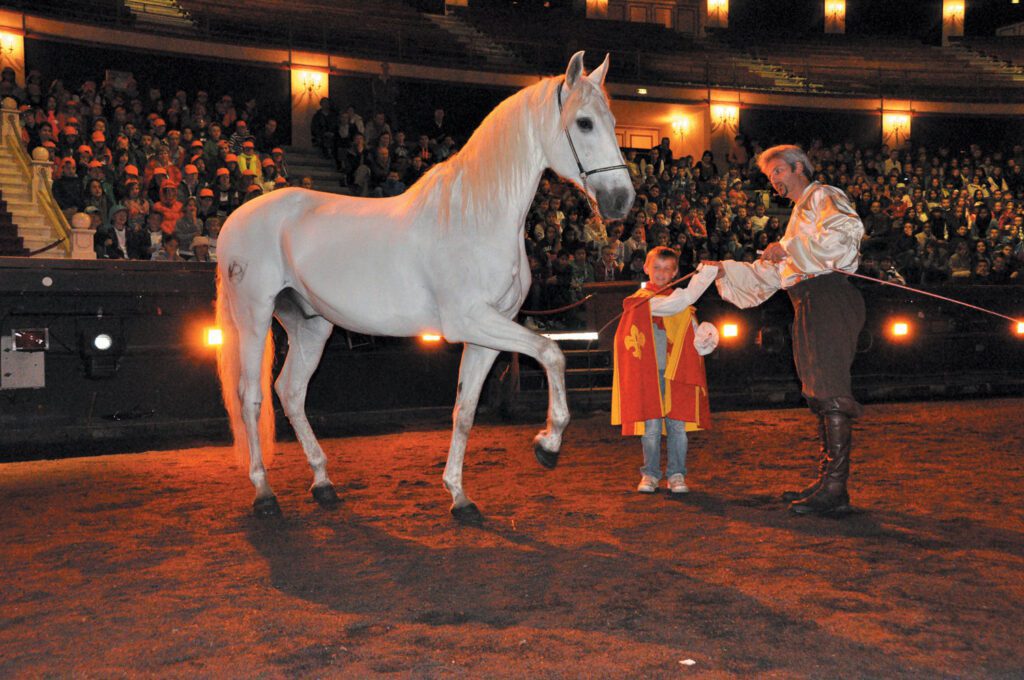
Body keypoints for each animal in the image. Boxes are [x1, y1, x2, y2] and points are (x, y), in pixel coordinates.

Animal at [215, 53, 630, 520]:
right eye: (583, 123)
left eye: (612, 121)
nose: (622, 200)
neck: (474, 216)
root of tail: (236, 219)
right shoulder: (471, 322)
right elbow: (552, 354)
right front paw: (548, 445)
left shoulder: (486, 333)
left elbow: (465, 410)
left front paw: (459, 497)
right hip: (254, 317)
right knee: (251, 396)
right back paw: (264, 492)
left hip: (310, 324)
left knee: (290, 391)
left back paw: (323, 483)